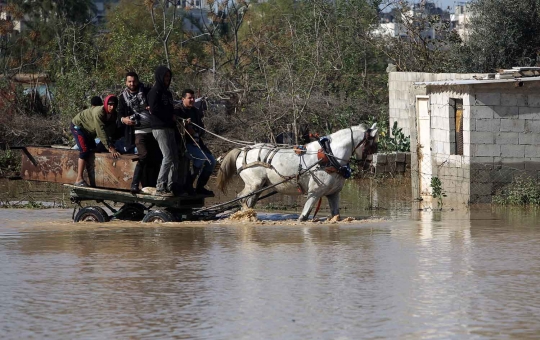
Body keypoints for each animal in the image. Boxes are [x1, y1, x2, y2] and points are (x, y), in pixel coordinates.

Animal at [217, 123, 378, 222]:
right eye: (372, 145)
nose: (370, 166)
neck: (328, 156)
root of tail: (243, 149)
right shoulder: (315, 192)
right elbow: (304, 217)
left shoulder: (333, 194)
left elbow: (336, 215)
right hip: (253, 184)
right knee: (241, 197)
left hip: (260, 186)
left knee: (249, 201)